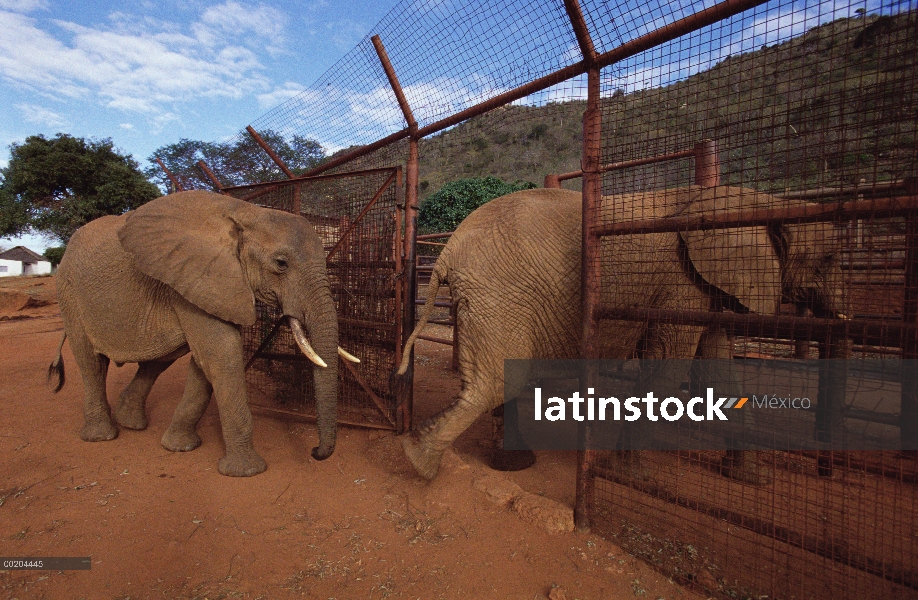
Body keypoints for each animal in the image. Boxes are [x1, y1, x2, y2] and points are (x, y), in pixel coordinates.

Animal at [48, 190, 360, 476]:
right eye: (281, 263)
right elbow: (223, 355)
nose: (315, 451)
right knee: (91, 363)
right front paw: (246, 472)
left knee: (157, 362)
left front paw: (179, 447)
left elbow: (205, 362)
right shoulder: (196, 276)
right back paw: (101, 436)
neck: (248, 213)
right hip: (69, 292)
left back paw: (131, 423)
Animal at [396, 185, 848, 480]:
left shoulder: (707, 287)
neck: (759, 201)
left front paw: (750, 480)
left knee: (504, 377)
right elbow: (669, 366)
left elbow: (717, 369)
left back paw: (510, 465)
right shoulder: (681, 281)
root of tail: (448, 251)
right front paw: (631, 478)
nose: (830, 473)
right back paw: (418, 462)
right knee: (496, 381)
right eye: (828, 259)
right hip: (498, 293)